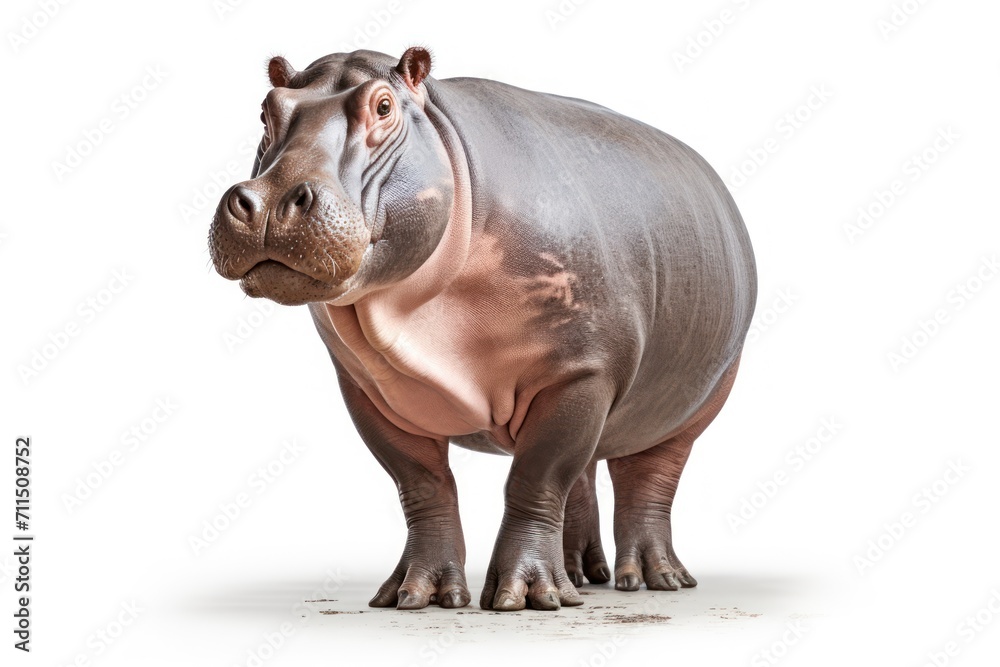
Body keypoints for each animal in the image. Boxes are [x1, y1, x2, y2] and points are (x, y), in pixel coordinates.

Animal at [209, 47, 756, 611]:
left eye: (383, 106)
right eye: (265, 110)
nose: (268, 202)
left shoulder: (581, 373)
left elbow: (536, 479)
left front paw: (527, 597)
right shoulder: (366, 390)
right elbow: (424, 486)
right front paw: (415, 595)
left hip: (687, 403)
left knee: (648, 478)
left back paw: (653, 579)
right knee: (584, 473)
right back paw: (582, 575)